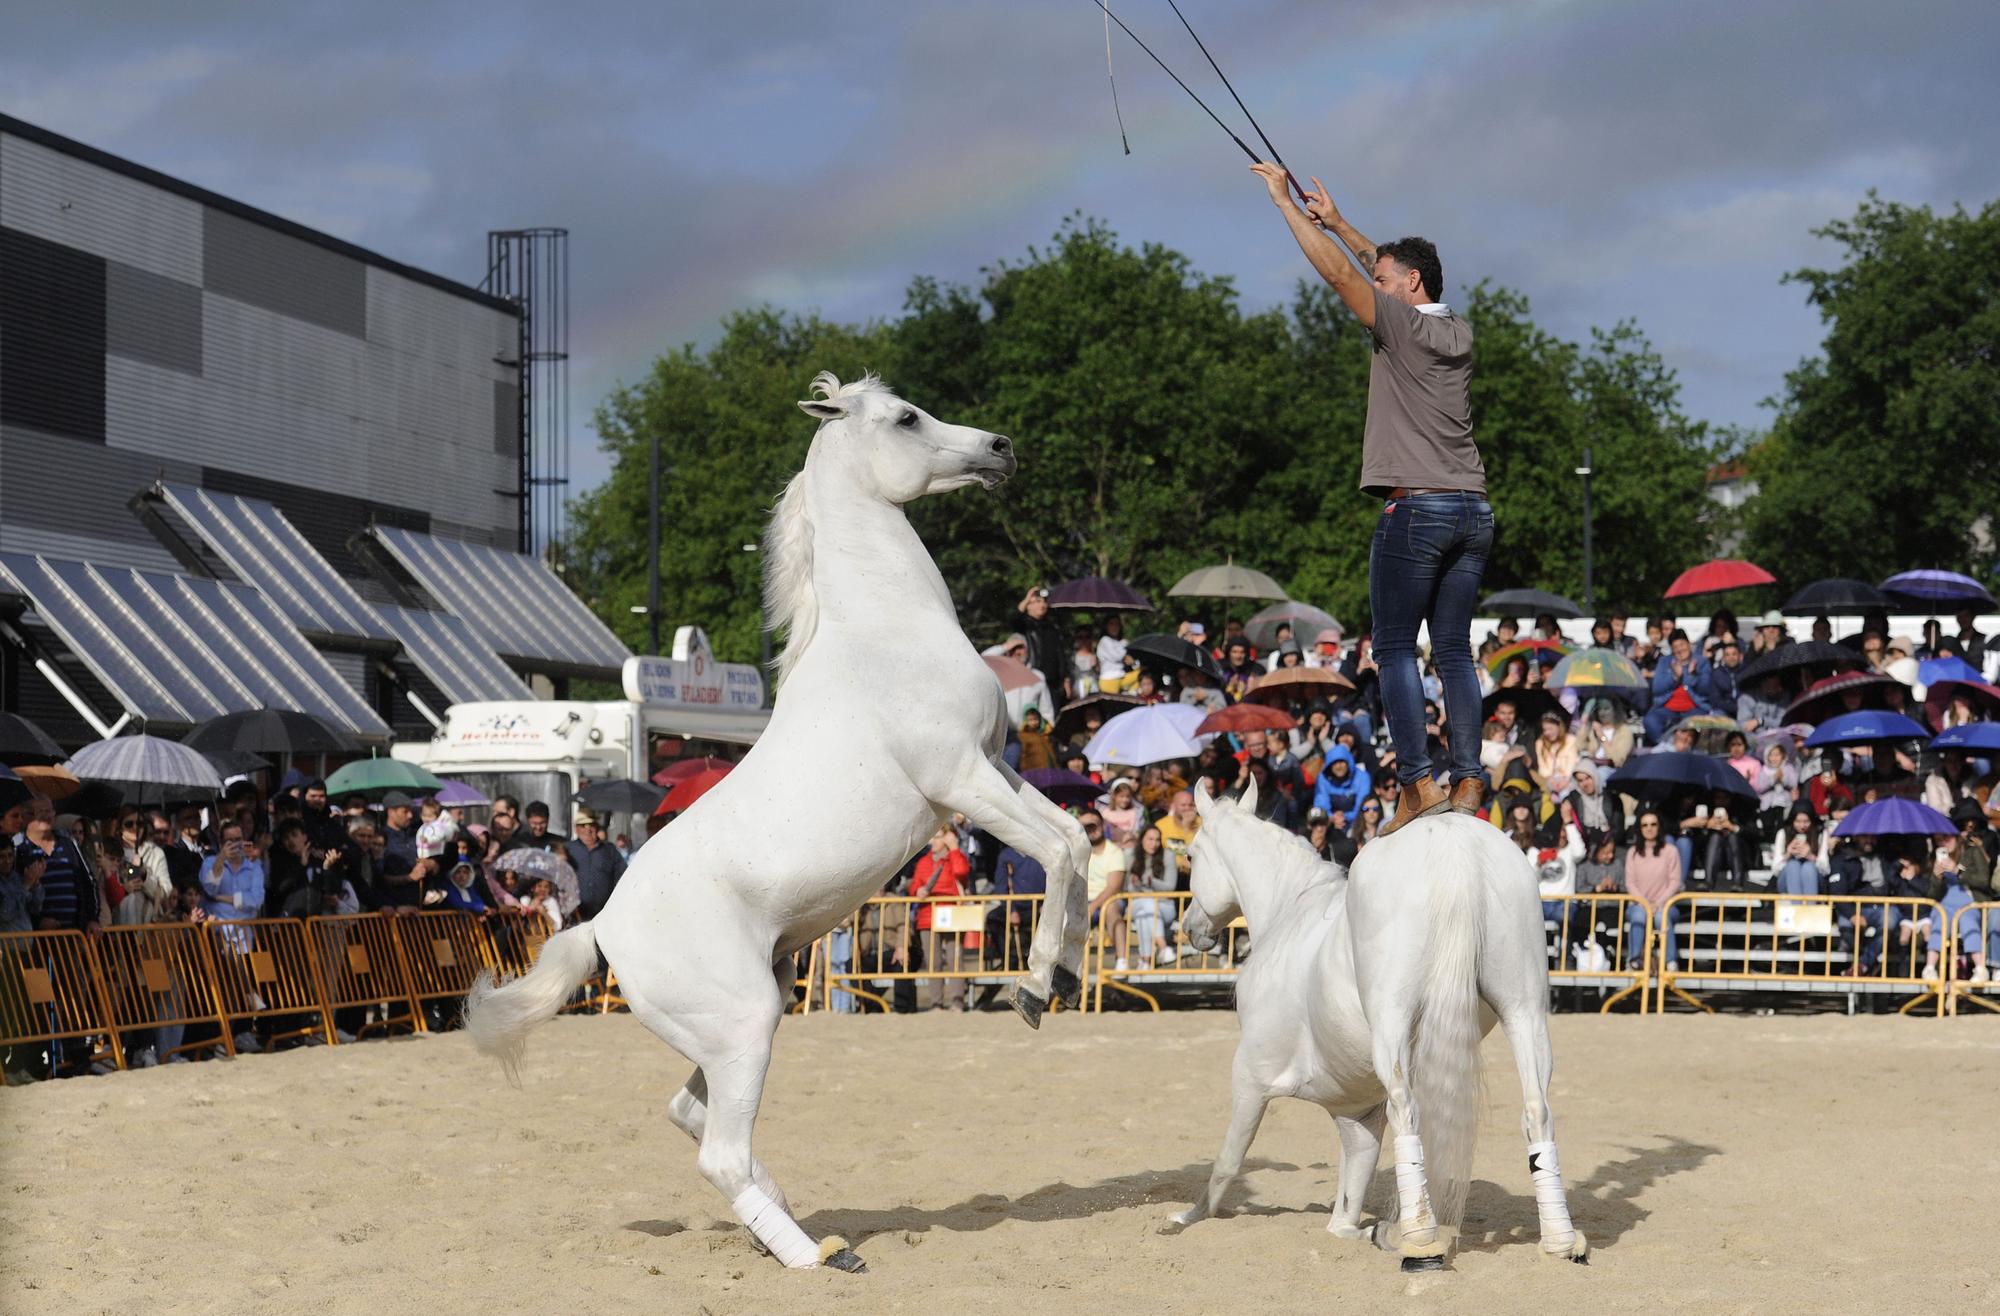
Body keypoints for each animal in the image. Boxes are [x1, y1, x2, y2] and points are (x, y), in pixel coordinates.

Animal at [466, 372, 1088, 1272]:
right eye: (907, 418)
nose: (1000, 449)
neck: (888, 632)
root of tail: (602, 928)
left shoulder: (994, 770)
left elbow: (1076, 841)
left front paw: (1068, 973)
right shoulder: (961, 781)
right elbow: (1057, 852)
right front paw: (1035, 987)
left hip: (749, 1015)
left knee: (692, 1116)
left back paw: (796, 1228)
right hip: (744, 1023)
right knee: (717, 1150)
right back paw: (815, 1257)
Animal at [1168, 772, 1576, 1264]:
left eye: (1190, 855)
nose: (1191, 929)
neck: (1290, 913)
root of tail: (1453, 844)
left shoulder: (1251, 1076)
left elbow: (1228, 1162)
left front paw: (1186, 1219)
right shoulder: (1357, 1114)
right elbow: (1344, 1213)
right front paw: (1372, 1232)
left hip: (1393, 1025)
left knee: (1408, 1110)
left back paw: (1420, 1239)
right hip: (1525, 1012)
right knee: (1537, 1111)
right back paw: (1560, 1240)